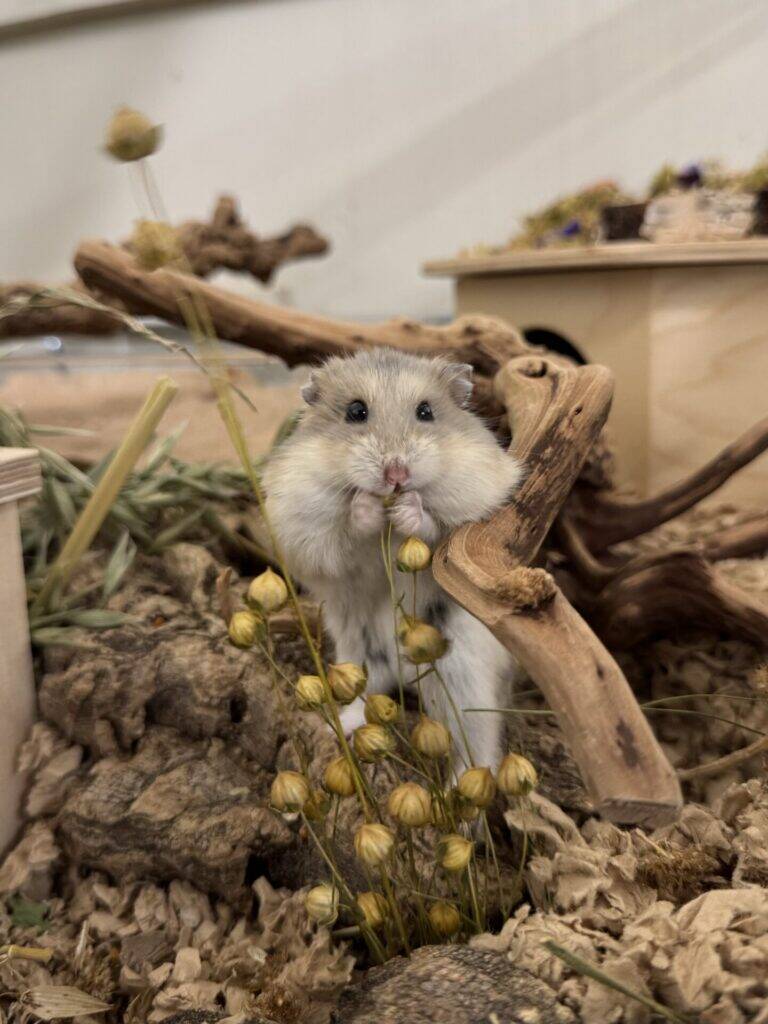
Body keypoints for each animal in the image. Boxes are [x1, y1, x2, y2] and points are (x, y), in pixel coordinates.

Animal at [263, 348, 523, 770]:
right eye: (355, 412)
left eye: (425, 412)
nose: (396, 474)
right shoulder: (305, 530)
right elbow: (345, 532)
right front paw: (367, 506)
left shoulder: (475, 505)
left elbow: (435, 527)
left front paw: (407, 508)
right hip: (358, 653)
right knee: (368, 692)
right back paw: (343, 725)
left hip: (462, 678)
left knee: (477, 746)